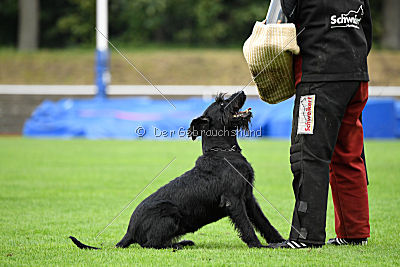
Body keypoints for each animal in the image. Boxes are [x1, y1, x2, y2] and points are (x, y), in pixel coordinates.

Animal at [71, 92, 284, 251]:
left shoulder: (248, 198)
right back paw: (178, 245)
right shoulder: (233, 201)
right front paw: (259, 246)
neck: (222, 152)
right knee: (151, 244)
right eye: (222, 102)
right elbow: (247, 227)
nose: (242, 92)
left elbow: (264, 223)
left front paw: (281, 241)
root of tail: (129, 231)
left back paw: (183, 242)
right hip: (170, 214)